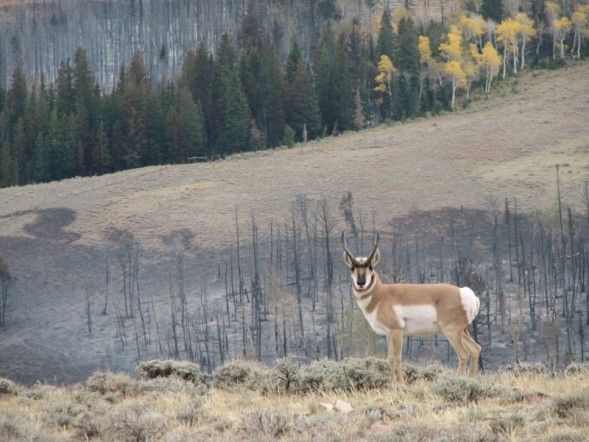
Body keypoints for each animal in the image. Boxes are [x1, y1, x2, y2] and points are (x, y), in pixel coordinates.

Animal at [342, 233, 480, 382]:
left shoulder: (397, 331)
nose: (361, 282)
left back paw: (456, 380)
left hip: (452, 332)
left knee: (464, 354)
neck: (381, 294)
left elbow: (397, 357)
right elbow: (390, 358)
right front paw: (393, 383)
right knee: (475, 349)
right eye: (352, 268)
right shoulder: (388, 334)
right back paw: (471, 380)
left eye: (370, 267)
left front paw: (401, 384)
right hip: (463, 331)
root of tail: (464, 293)